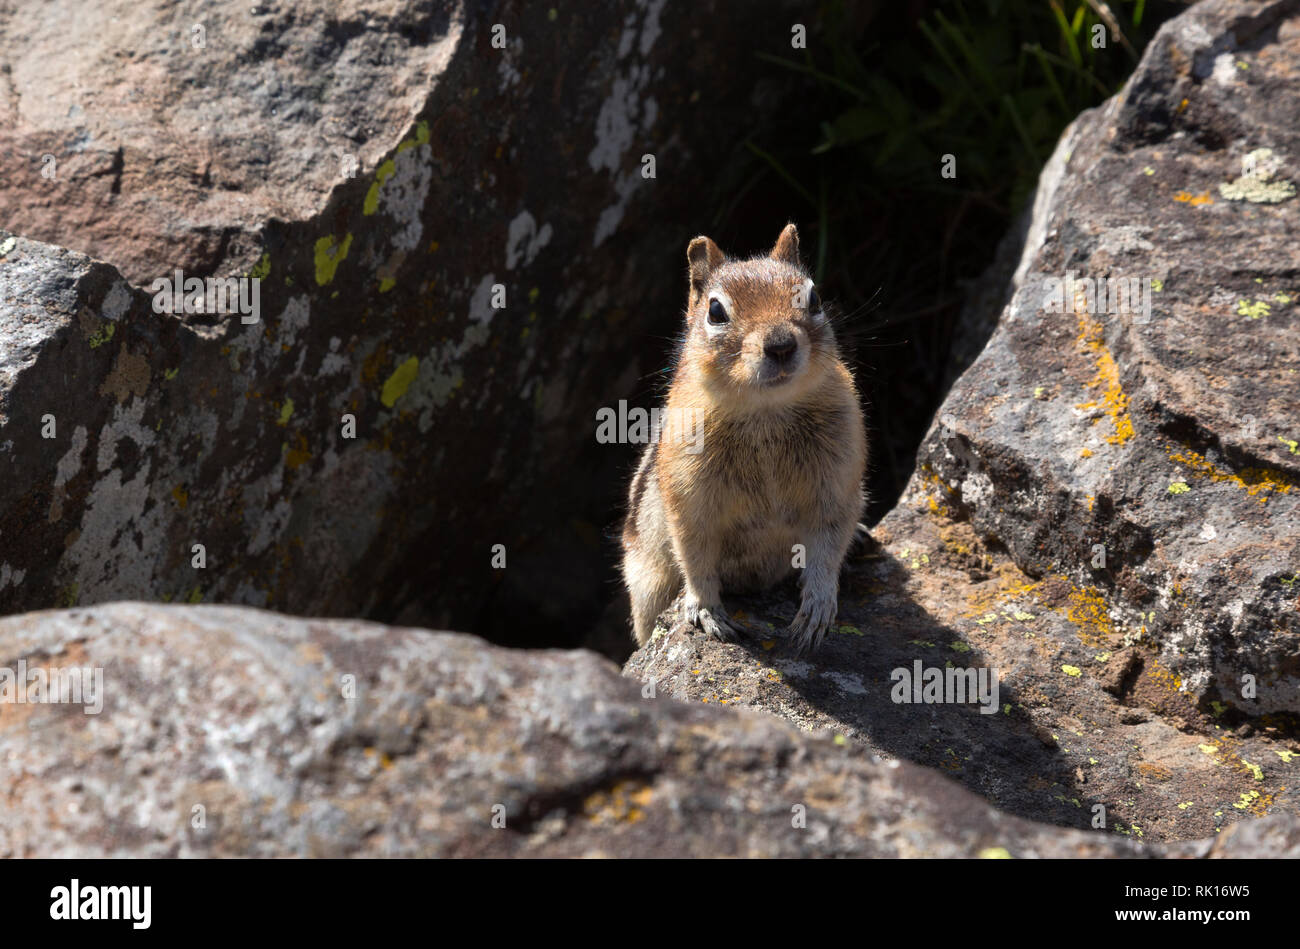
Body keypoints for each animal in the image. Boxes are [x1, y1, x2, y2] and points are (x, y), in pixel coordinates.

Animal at [621, 223, 867, 654]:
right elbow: (694, 554)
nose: (781, 345)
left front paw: (817, 607)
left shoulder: (837, 484)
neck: (764, 412)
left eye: (814, 298)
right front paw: (705, 609)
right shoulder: (688, 498)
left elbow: (828, 544)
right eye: (716, 311)